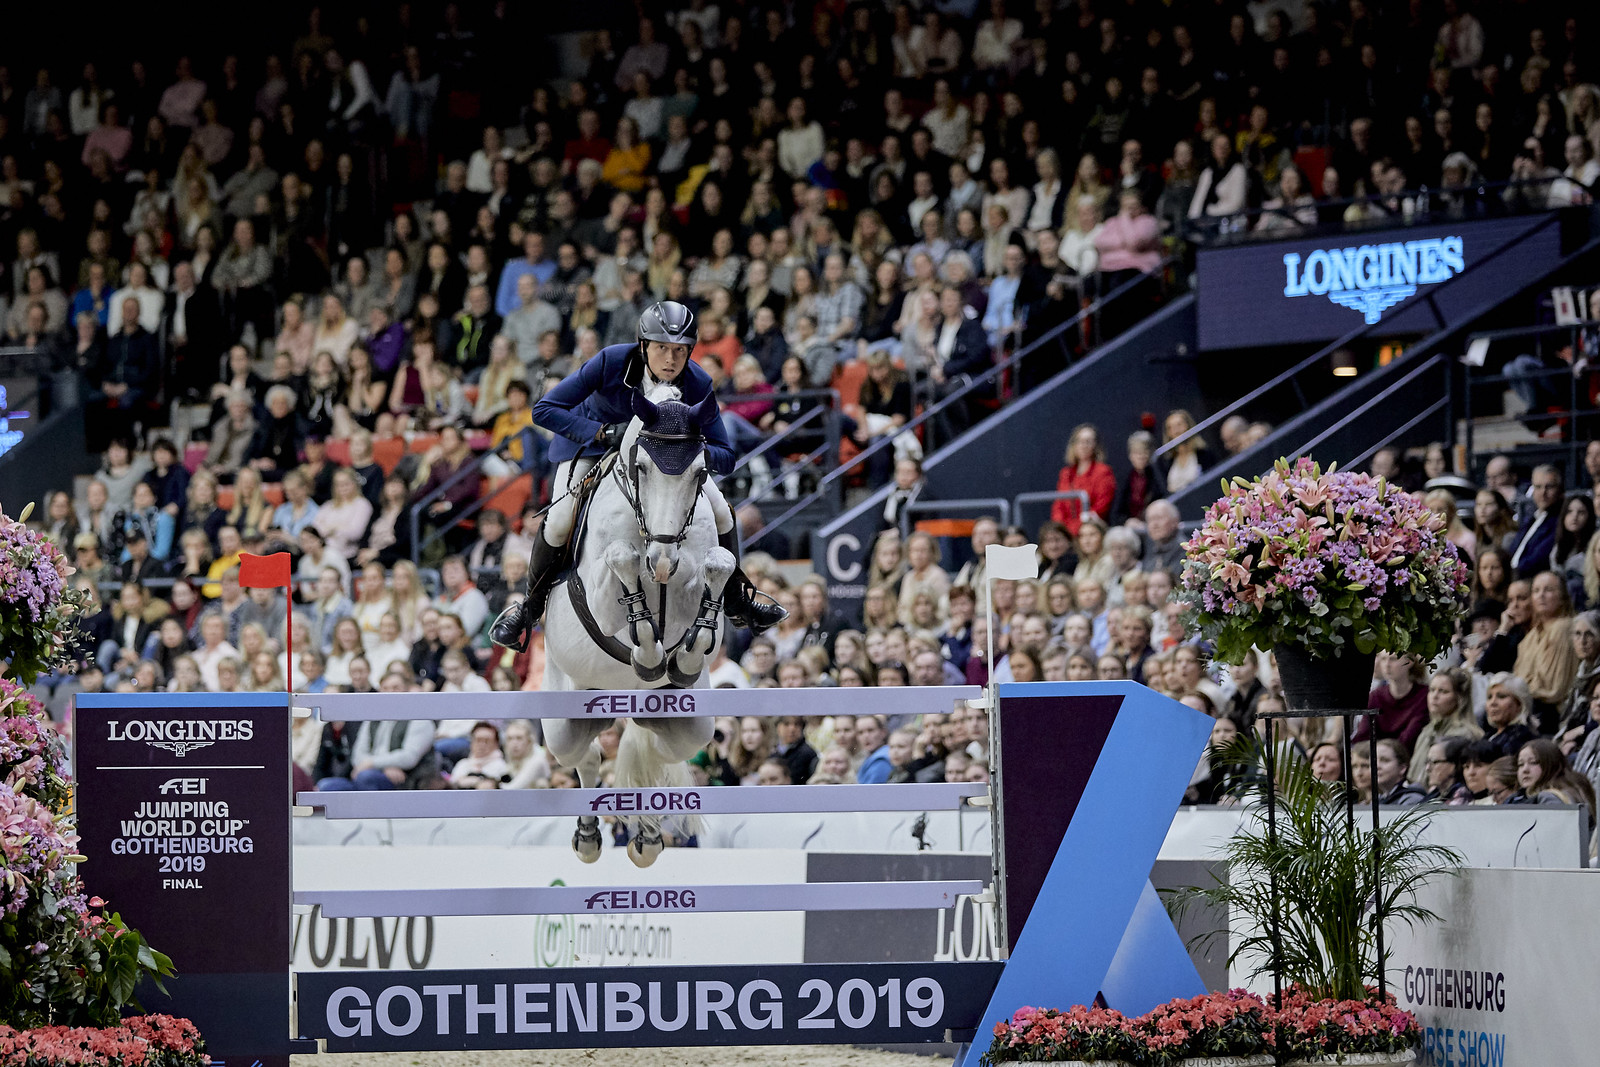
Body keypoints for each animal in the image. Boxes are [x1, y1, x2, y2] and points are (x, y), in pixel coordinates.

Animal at [537, 382, 736, 870]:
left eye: (701, 473)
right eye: (642, 468)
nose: (662, 562)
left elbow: (718, 567)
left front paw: (681, 659)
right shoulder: (600, 598)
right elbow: (621, 558)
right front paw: (647, 652)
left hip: (688, 726)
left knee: (657, 754)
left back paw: (646, 837)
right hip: (563, 717)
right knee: (586, 757)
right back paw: (589, 838)